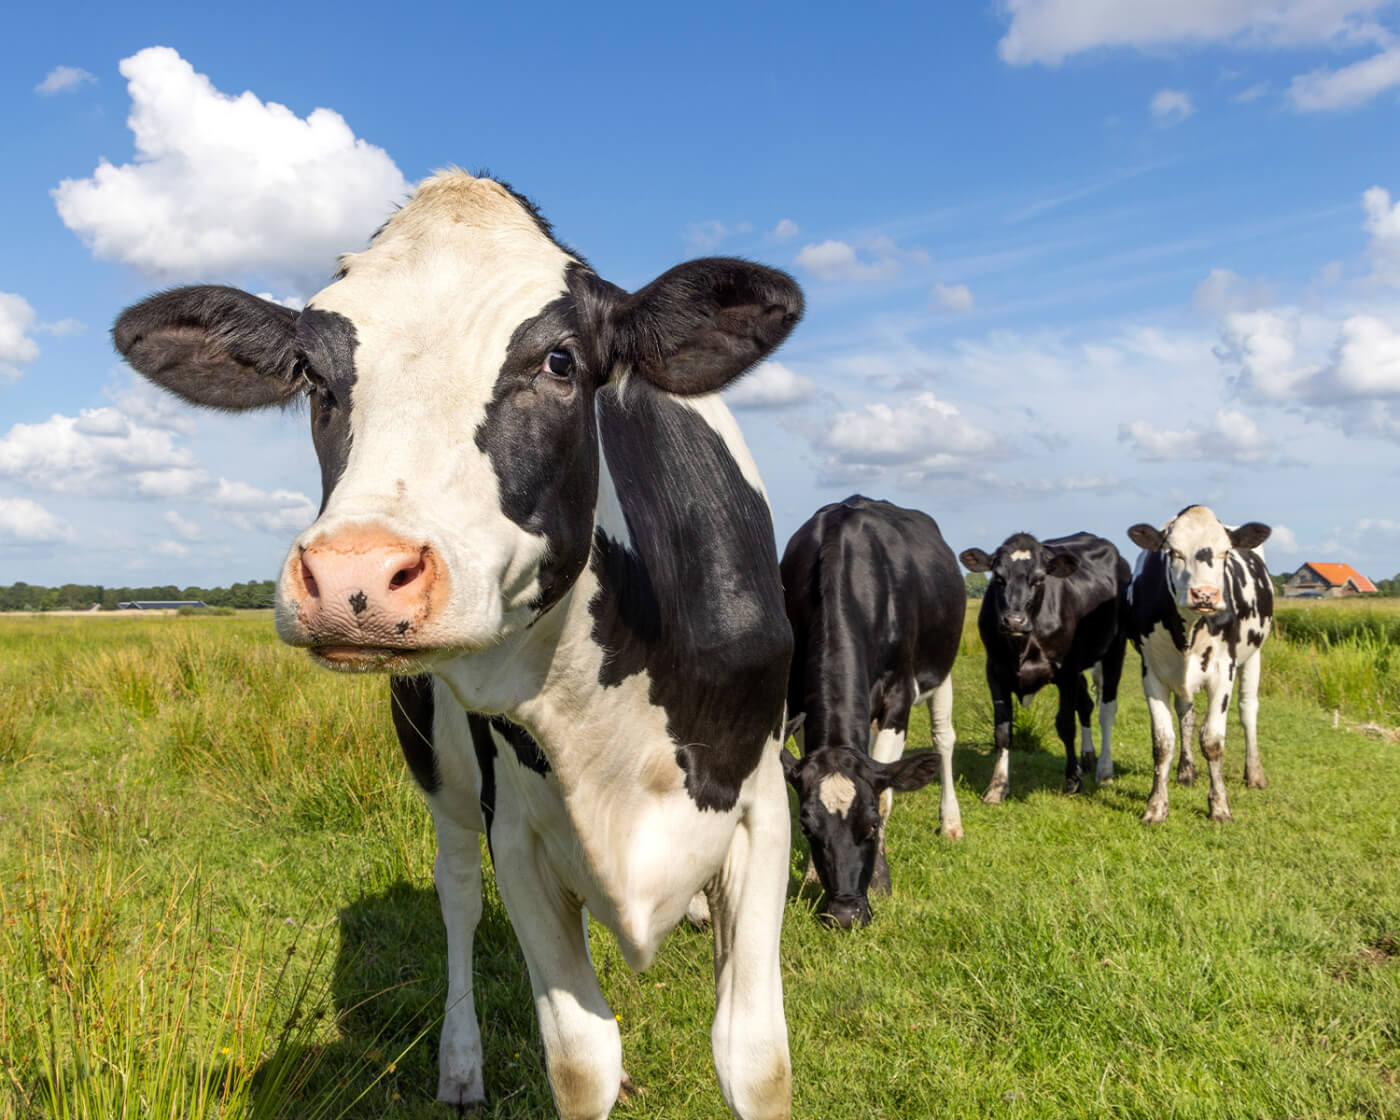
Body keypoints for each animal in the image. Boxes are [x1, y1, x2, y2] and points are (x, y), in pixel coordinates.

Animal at [114, 168, 806, 1120]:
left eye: (560, 361)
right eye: (313, 373)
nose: (356, 575)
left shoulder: (762, 807)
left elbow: (754, 1061)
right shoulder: (515, 829)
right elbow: (579, 1060)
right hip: (437, 770)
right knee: (457, 896)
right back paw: (460, 1062)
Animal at [778, 495, 963, 929]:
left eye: (871, 825)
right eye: (807, 828)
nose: (845, 914)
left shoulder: (898, 697)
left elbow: (886, 796)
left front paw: (879, 880)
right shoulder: (798, 701)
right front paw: (812, 875)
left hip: (942, 668)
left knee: (944, 740)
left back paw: (951, 823)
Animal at [957, 534, 1131, 806]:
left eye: (1039, 579)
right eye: (998, 578)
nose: (1014, 621)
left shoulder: (1067, 672)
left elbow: (1066, 725)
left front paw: (1073, 781)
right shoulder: (995, 671)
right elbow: (1002, 731)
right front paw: (997, 787)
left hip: (1115, 648)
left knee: (1106, 710)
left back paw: (1104, 770)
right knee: (1086, 705)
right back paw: (1088, 757)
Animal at [1125, 504, 1282, 823]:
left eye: (1225, 553)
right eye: (1173, 552)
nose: (1205, 594)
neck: (1188, 628)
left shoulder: (1223, 671)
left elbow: (1212, 740)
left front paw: (1220, 807)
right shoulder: (1152, 673)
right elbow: (1163, 742)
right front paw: (1156, 806)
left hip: (1254, 655)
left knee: (1248, 710)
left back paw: (1254, 773)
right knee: (1186, 714)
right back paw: (1186, 771)